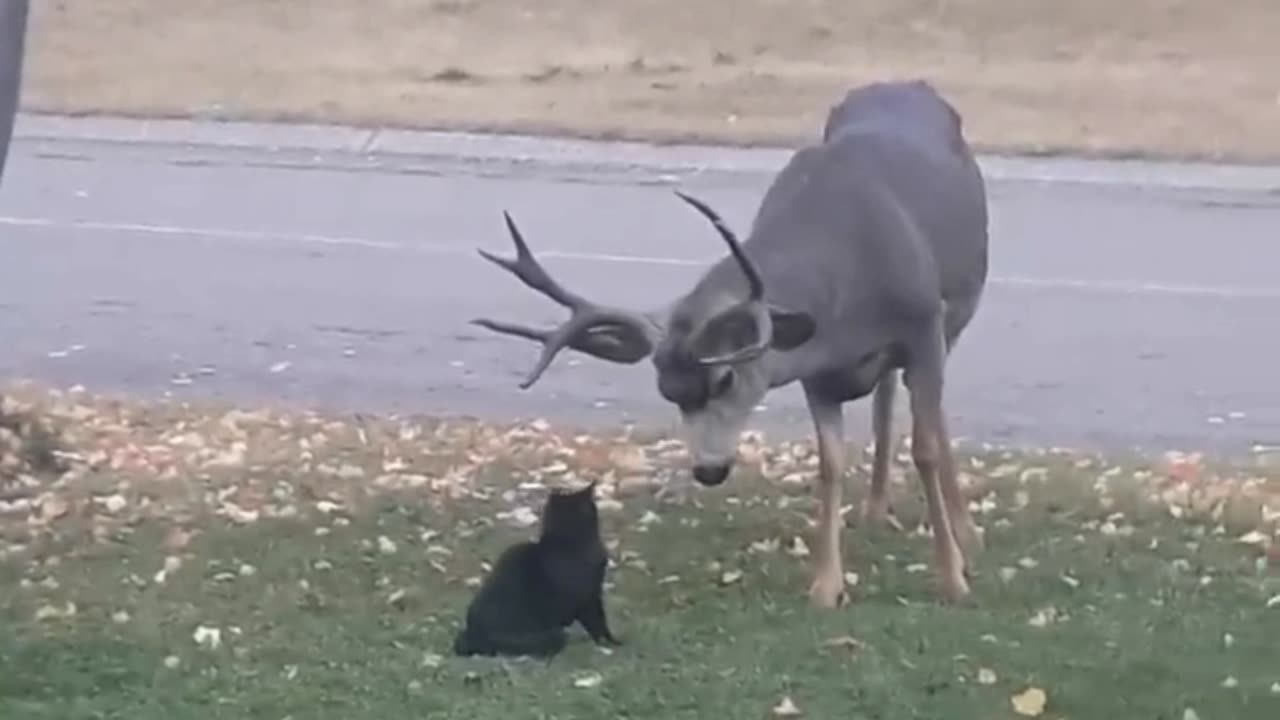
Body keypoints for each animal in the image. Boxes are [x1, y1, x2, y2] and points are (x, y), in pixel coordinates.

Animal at [453, 476, 622, 655]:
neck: (570, 544)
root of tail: (473, 633)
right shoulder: (587, 599)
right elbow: (597, 623)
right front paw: (608, 643)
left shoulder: (594, 593)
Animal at [476, 79, 983, 604]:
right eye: (667, 392)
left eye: (724, 378)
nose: (708, 470)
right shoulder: (818, 369)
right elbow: (830, 463)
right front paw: (826, 586)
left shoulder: (923, 323)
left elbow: (925, 447)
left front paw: (952, 577)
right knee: (886, 392)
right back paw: (876, 509)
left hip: (953, 318)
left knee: (932, 415)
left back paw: (965, 531)